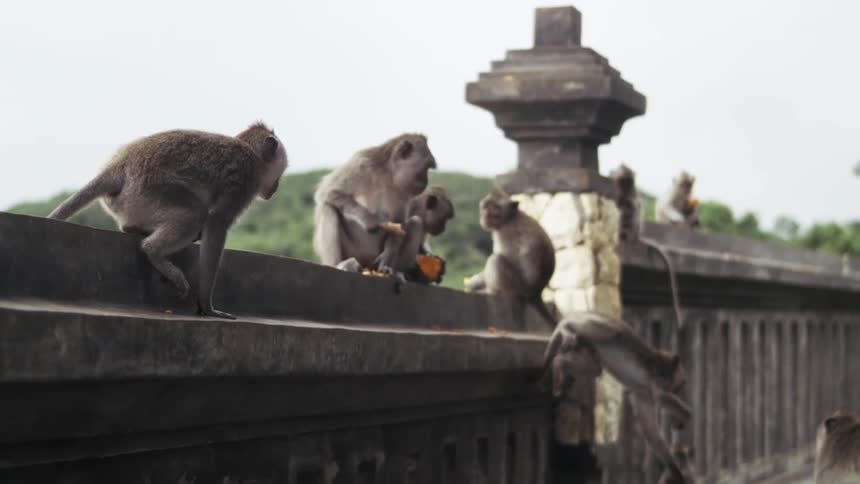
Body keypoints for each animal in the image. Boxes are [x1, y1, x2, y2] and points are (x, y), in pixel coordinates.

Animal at [48, 122, 288, 319]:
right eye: (281, 171)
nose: (276, 188)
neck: (251, 153)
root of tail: (118, 166)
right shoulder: (244, 182)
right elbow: (217, 223)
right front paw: (207, 306)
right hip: (149, 190)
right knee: (195, 215)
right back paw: (153, 250)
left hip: (130, 202)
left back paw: (134, 228)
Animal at [313, 133, 437, 272]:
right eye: (426, 168)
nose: (426, 181)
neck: (388, 174)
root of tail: (367, 264)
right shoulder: (360, 163)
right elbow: (327, 192)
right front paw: (370, 220)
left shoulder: (404, 191)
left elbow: (399, 223)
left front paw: (388, 254)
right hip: (354, 251)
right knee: (328, 207)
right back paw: (338, 264)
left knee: (416, 223)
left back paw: (395, 271)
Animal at [464, 188, 557, 328]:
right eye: (486, 206)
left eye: (495, 208)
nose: (486, 214)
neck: (510, 218)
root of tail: (535, 293)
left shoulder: (504, 234)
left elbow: (507, 257)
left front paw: (472, 284)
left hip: (516, 287)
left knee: (496, 260)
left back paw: (491, 291)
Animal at [543, 313, 693, 482]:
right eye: (682, 383)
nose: (681, 388)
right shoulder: (659, 379)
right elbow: (661, 396)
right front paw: (685, 414)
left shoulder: (643, 395)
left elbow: (651, 433)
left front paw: (675, 470)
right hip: (592, 324)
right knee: (614, 333)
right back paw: (566, 326)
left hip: (583, 346)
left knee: (594, 367)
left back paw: (558, 364)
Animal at [610, 164, 685, 331]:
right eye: (621, 178)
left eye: (627, 179)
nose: (625, 185)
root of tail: (636, 238)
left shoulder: (630, 194)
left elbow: (631, 207)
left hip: (631, 231)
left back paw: (622, 238)